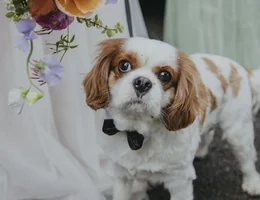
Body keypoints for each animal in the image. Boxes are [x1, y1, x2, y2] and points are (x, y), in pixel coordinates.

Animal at [83, 36, 260, 199]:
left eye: (165, 75)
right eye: (124, 65)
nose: (142, 82)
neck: (138, 133)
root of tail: (239, 66)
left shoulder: (180, 182)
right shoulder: (122, 176)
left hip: (238, 131)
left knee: (247, 158)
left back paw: (252, 182)